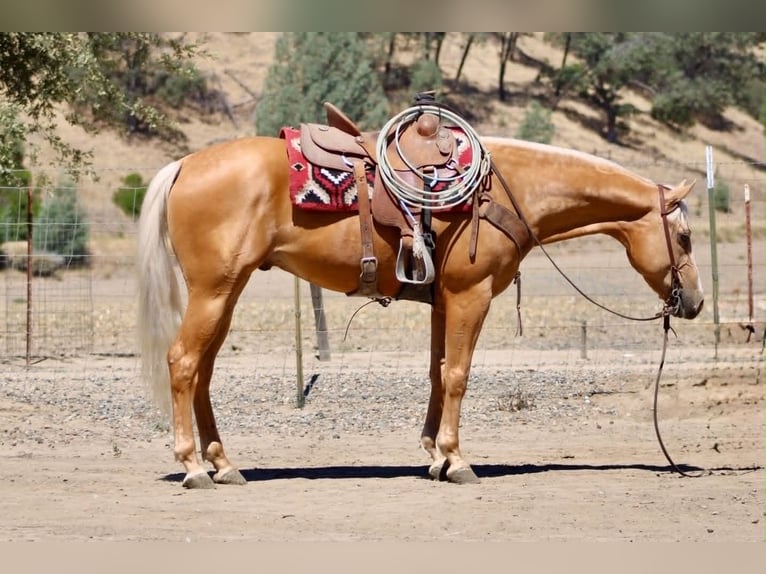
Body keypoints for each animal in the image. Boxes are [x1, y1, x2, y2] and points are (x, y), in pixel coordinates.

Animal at [136, 133, 704, 489]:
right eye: (684, 236)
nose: (695, 302)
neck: (510, 190)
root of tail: (184, 165)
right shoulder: (471, 294)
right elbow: (458, 375)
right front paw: (457, 460)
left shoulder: (443, 300)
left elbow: (437, 372)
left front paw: (434, 455)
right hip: (214, 290)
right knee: (183, 363)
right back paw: (192, 467)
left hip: (226, 292)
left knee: (203, 372)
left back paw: (223, 464)